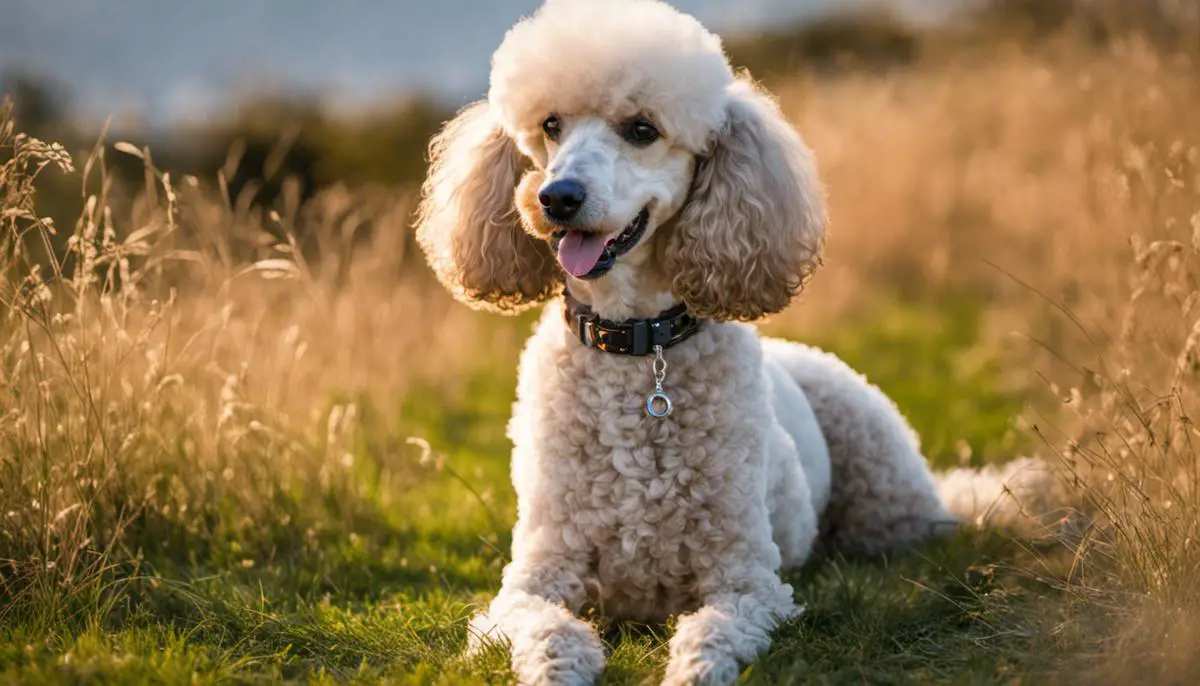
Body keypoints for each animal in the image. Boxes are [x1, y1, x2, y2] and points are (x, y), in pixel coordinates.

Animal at [412, 2, 1041, 681]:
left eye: (642, 129)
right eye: (550, 126)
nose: (556, 198)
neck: (637, 348)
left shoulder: (746, 580)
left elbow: (710, 633)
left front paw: (691, 668)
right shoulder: (533, 578)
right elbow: (547, 630)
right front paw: (562, 666)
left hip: (892, 502)